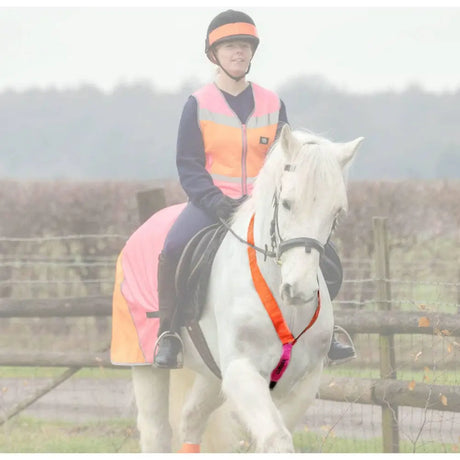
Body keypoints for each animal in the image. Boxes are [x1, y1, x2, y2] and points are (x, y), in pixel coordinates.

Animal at [130, 125, 362, 452]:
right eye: (287, 203)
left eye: (337, 212)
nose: (299, 289)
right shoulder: (242, 371)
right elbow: (277, 439)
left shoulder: (304, 381)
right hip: (145, 366)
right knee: (156, 432)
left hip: (213, 375)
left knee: (192, 419)